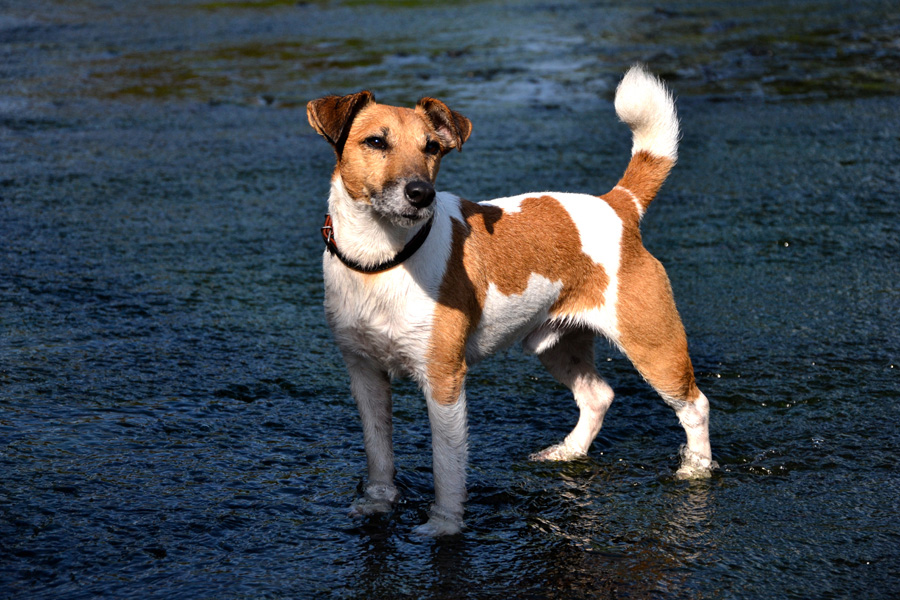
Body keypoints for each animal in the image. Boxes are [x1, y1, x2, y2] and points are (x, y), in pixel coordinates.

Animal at [310, 67, 716, 540]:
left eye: (432, 147)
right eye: (376, 142)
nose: (420, 193)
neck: (381, 261)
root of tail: (619, 205)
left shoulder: (444, 381)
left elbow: (447, 465)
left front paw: (443, 525)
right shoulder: (365, 375)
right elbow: (379, 452)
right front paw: (377, 503)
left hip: (653, 346)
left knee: (695, 405)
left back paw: (696, 469)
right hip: (556, 346)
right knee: (598, 396)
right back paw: (567, 451)